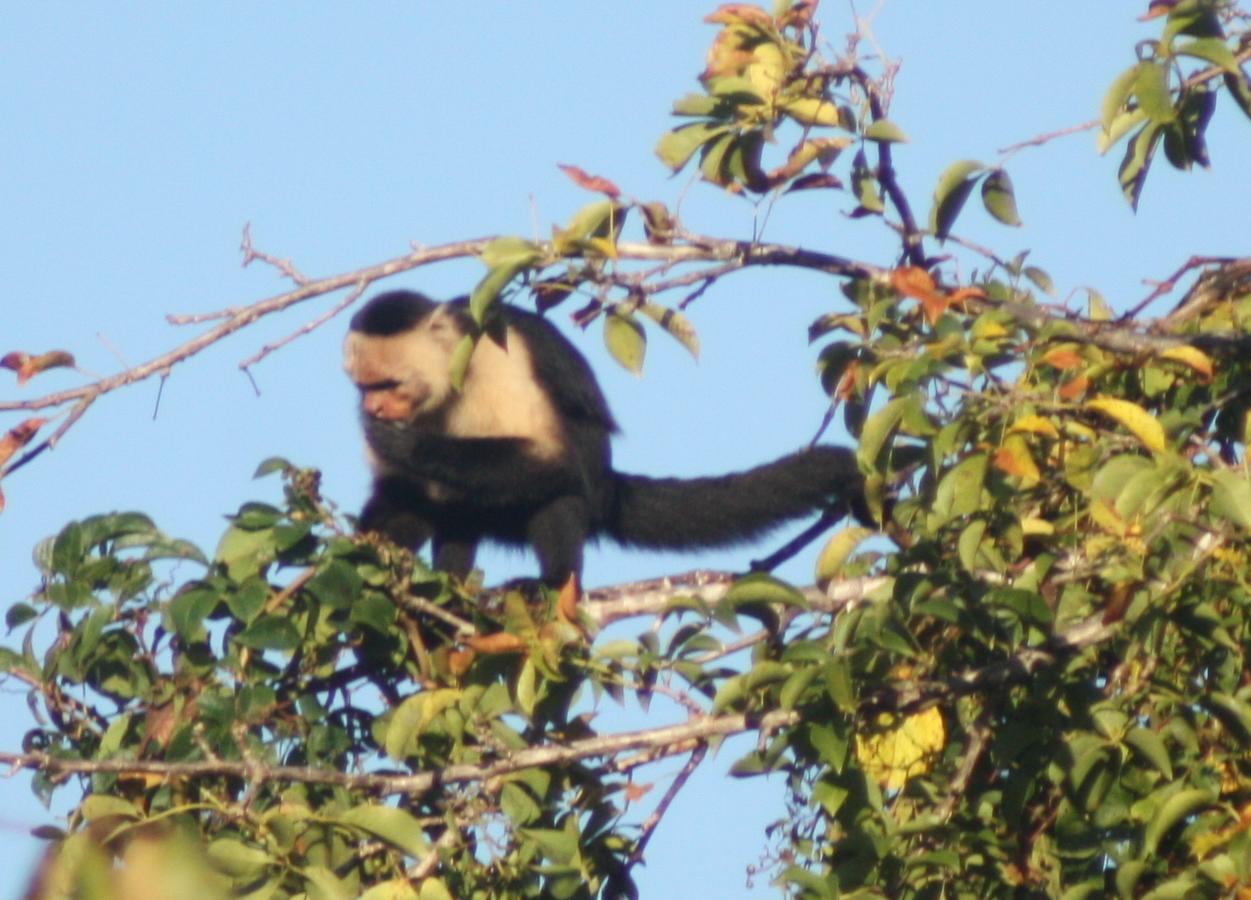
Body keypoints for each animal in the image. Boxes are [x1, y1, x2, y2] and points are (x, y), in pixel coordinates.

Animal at [345, 289, 870, 583]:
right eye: (364, 387)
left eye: (387, 384)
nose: (372, 408)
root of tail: (609, 486)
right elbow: (396, 489)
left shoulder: (499, 357)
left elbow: (552, 462)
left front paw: (409, 446)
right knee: (442, 508)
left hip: (584, 494)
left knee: (561, 488)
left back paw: (555, 586)